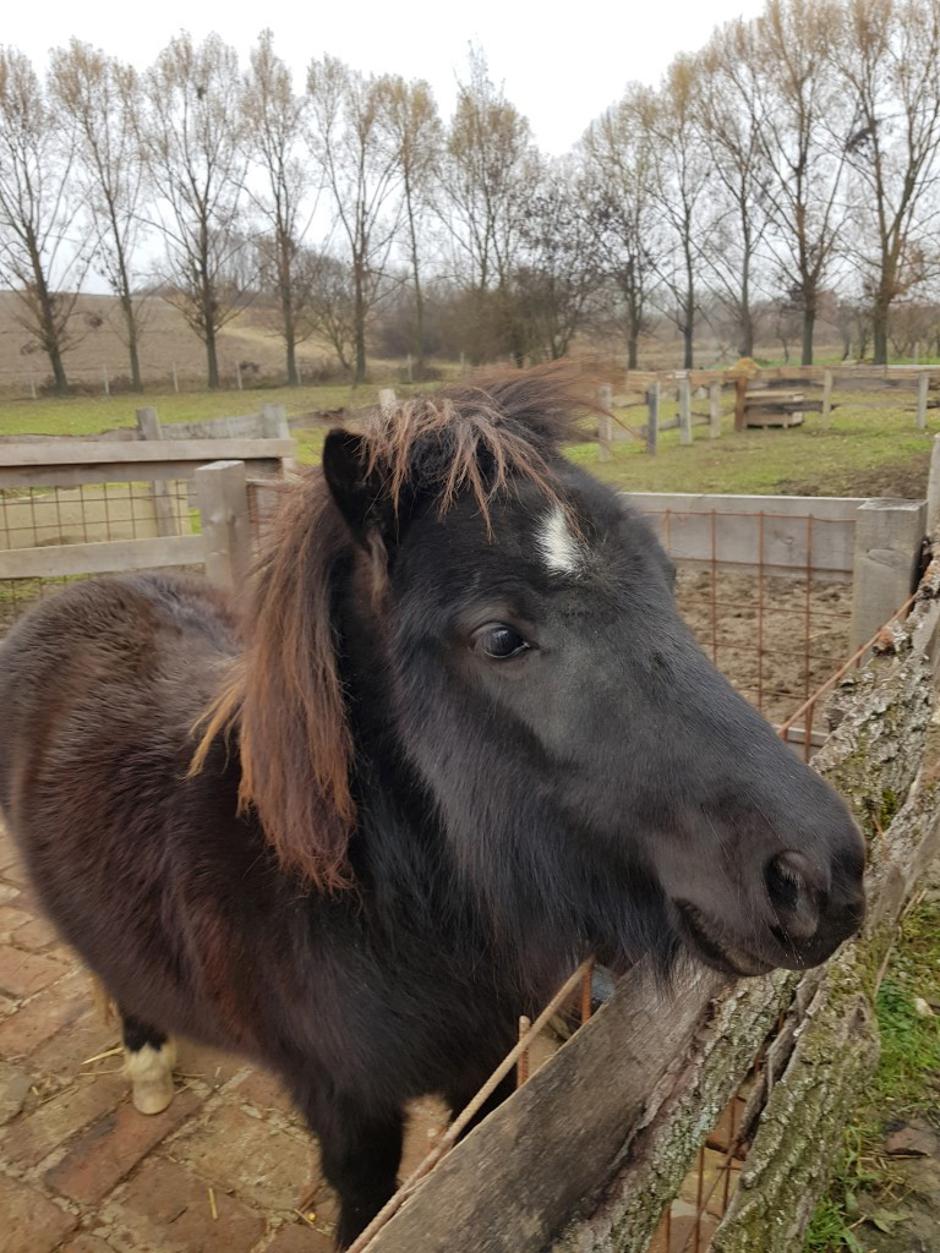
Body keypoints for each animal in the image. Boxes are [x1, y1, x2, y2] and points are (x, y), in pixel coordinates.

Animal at [0, 370, 867, 1242]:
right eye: (500, 637)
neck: (352, 901)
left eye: (669, 579)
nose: (818, 877)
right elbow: (366, 1207)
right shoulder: (346, 1109)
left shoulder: (485, 1067)